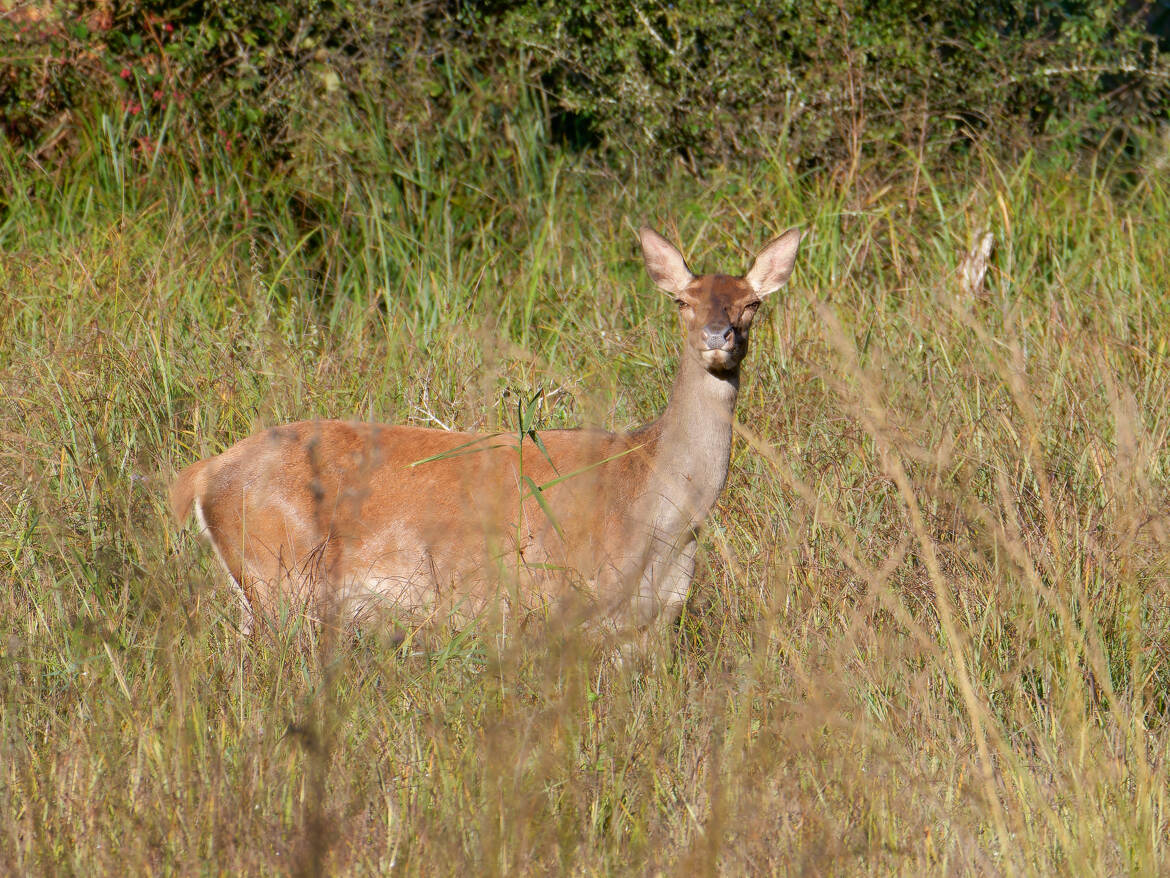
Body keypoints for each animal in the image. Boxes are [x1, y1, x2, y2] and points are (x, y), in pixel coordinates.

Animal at [169, 224, 800, 641]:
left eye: (752, 303)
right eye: (682, 301)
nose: (719, 336)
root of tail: (201, 476)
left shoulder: (652, 620)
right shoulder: (562, 596)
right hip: (277, 573)